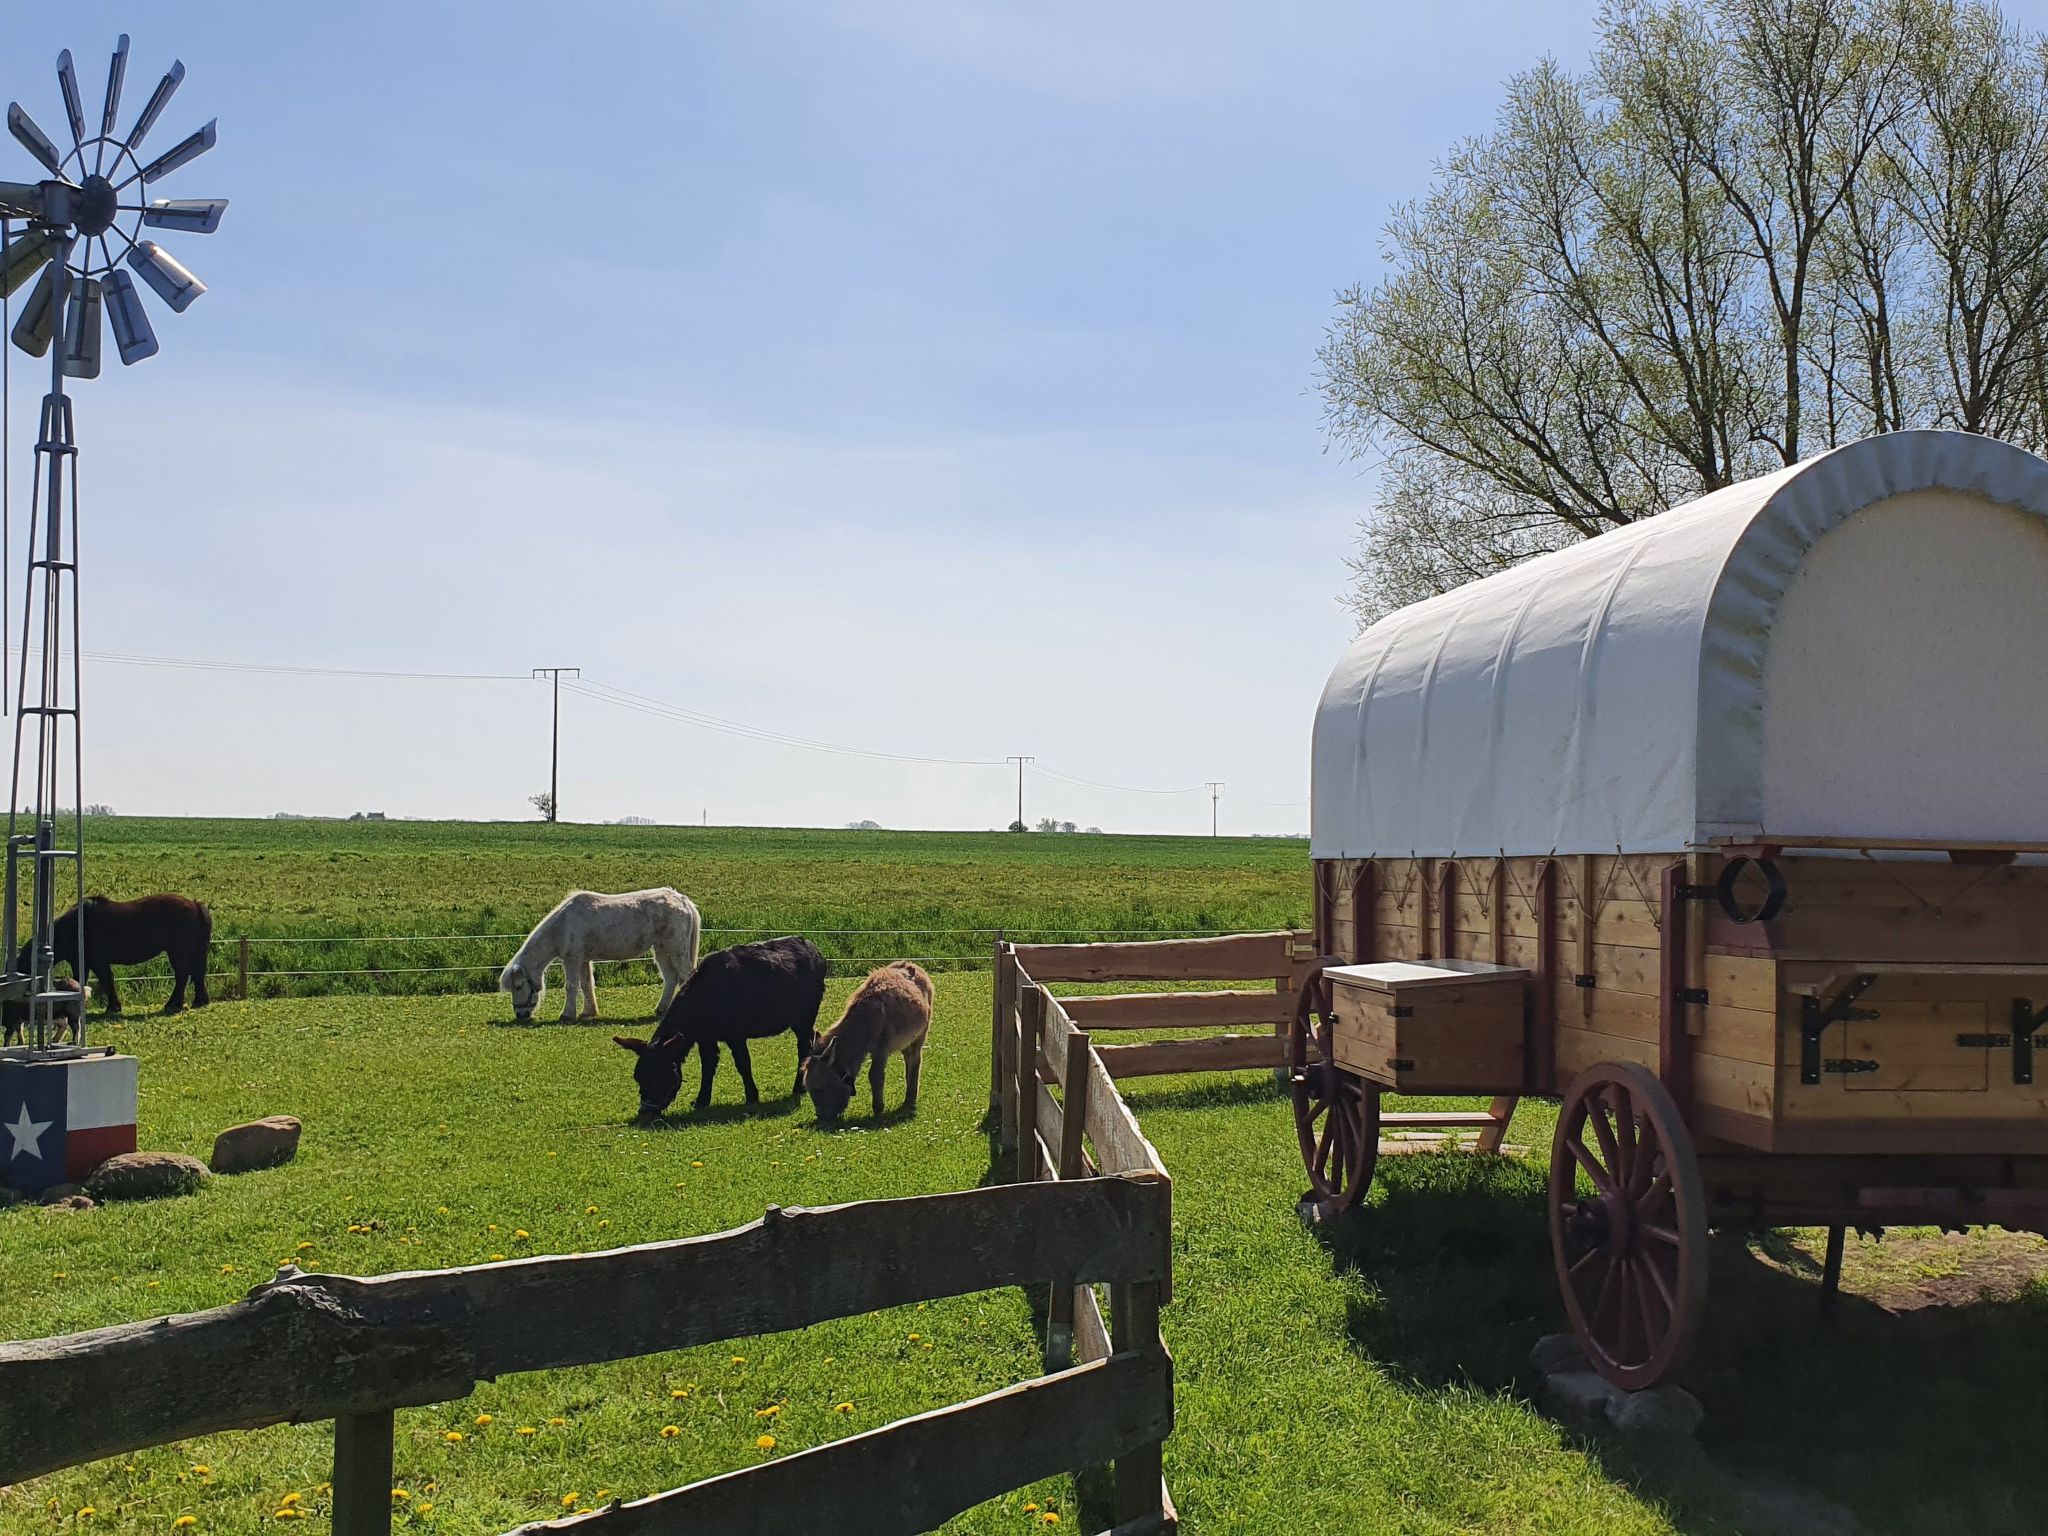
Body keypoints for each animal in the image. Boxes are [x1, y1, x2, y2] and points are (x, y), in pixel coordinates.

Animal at [15, 894, 213, 1014]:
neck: (76, 927)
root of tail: (195, 904)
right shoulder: (82, 962)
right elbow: (82, 981)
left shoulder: (97, 961)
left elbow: (106, 981)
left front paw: (112, 1007)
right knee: (194, 974)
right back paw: (197, 1002)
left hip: (178, 951)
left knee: (182, 976)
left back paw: (173, 1004)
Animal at [499, 888, 701, 1023]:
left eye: (518, 986)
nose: (521, 1015)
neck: (563, 925)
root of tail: (683, 901)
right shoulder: (582, 960)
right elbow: (586, 985)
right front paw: (588, 1012)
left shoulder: (572, 960)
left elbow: (571, 986)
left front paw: (567, 1015)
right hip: (661, 950)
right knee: (671, 979)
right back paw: (660, 1010)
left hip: (675, 950)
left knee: (684, 975)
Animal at [614, 936, 827, 1120]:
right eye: (638, 1078)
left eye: (659, 1075)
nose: (645, 1111)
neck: (704, 996)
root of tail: (811, 946)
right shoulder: (705, 1038)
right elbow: (708, 1066)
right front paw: (702, 1100)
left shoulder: (736, 1035)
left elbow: (743, 1063)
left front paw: (752, 1096)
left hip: (804, 1019)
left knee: (804, 1048)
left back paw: (798, 1088)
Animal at [802, 961, 932, 1122]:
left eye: (819, 1088)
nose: (821, 1117)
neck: (865, 1022)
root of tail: (912, 964)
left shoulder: (881, 1050)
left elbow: (875, 1076)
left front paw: (878, 1110)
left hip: (920, 1035)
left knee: (915, 1062)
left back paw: (910, 1100)